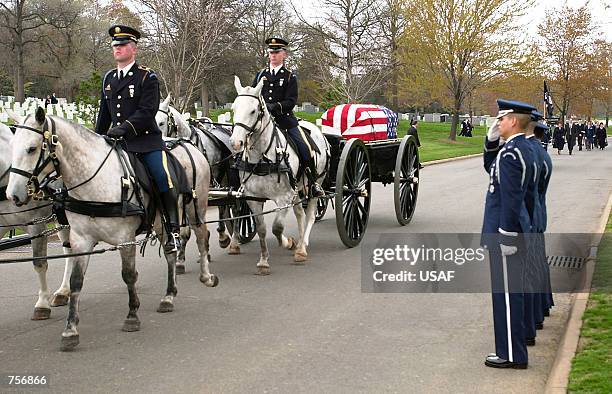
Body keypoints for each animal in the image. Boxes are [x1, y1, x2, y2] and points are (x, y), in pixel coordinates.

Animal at [228, 76, 328, 274]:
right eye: (234, 109)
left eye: (253, 111)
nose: (236, 143)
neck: (262, 157)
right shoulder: (254, 198)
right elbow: (262, 229)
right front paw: (263, 261)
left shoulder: (284, 197)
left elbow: (277, 227)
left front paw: (289, 242)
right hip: (297, 189)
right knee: (300, 213)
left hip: (314, 186)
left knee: (310, 214)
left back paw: (301, 247)